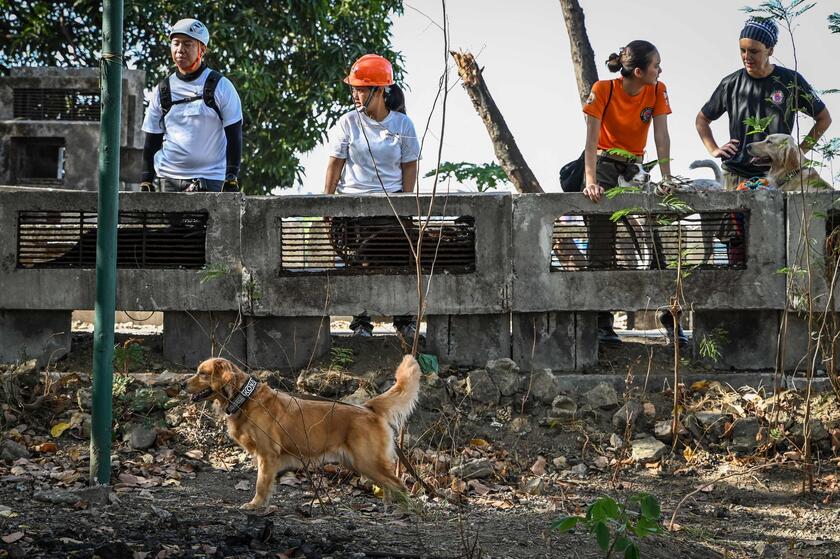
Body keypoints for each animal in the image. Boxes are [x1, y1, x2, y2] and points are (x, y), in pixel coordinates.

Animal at [184, 356, 420, 510]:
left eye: (202, 374)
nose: (182, 384)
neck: (246, 398)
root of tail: (368, 407)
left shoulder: (267, 455)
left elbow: (261, 484)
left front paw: (255, 505)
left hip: (367, 461)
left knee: (399, 485)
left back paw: (403, 511)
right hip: (362, 463)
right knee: (389, 485)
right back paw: (388, 508)